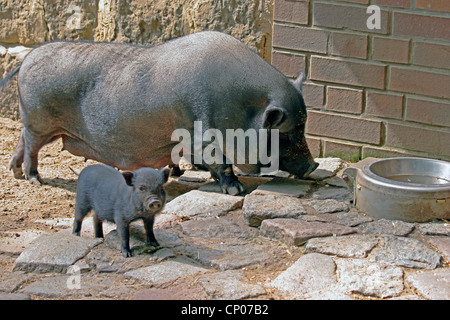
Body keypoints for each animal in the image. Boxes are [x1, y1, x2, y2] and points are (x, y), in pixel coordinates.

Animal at [5, 30, 318, 195]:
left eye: (304, 125)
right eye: (285, 133)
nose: (313, 165)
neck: (239, 111)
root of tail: (26, 59)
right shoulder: (202, 138)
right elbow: (222, 164)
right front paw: (236, 190)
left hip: (38, 123)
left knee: (21, 141)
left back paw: (15, 173)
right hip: (39, 122)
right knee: (31, 146)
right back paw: (34, 179)